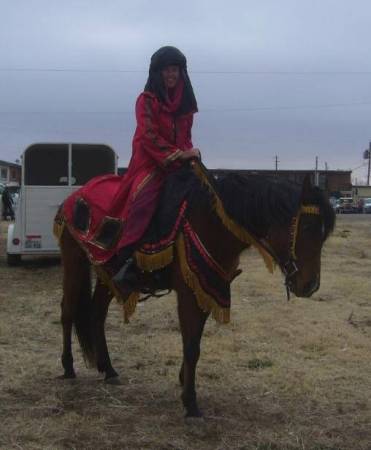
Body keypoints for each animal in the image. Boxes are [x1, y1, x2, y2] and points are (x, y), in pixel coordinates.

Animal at [58, 169, 338, 418]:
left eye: (325, 234)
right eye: (308, 228)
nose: (310, 285)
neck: (212, 223)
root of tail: (74, 197)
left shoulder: (205, 287)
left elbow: (195, 341)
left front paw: (184, 380)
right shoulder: (188, 291)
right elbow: (191, 345)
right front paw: (190, 402)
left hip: (106, 273)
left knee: (96, 314)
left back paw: (108, 369)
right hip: (74, 261)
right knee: (68, 311)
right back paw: (68, 366)